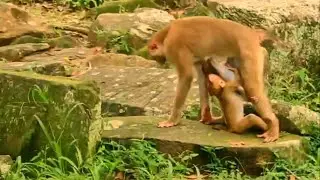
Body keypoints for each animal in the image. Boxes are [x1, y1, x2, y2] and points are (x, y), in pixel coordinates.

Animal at [149, 15, 278, 142]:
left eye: (155, 56)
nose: (159, 62)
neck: (167, 33)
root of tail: (252, 34)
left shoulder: (174, 46)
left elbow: (186, 76)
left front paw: (172, 120)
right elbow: (201, 73)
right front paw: (206, 115)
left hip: (249, 53)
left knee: (252, 89)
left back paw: (273, 126)